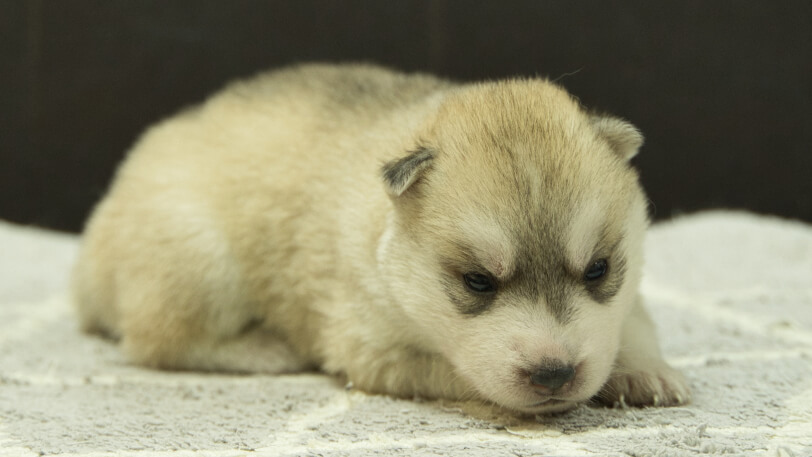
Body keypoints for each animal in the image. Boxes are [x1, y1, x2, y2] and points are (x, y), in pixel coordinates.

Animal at [73, 63, 688, 414]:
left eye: (598, 269)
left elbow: (634, 323)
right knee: (157, 341)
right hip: (200, 261)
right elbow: (456, 372)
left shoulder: (628, 294)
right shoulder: (370, 347)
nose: (554, 374)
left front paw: (643, 371)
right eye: (477, 281)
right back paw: (264, 349)